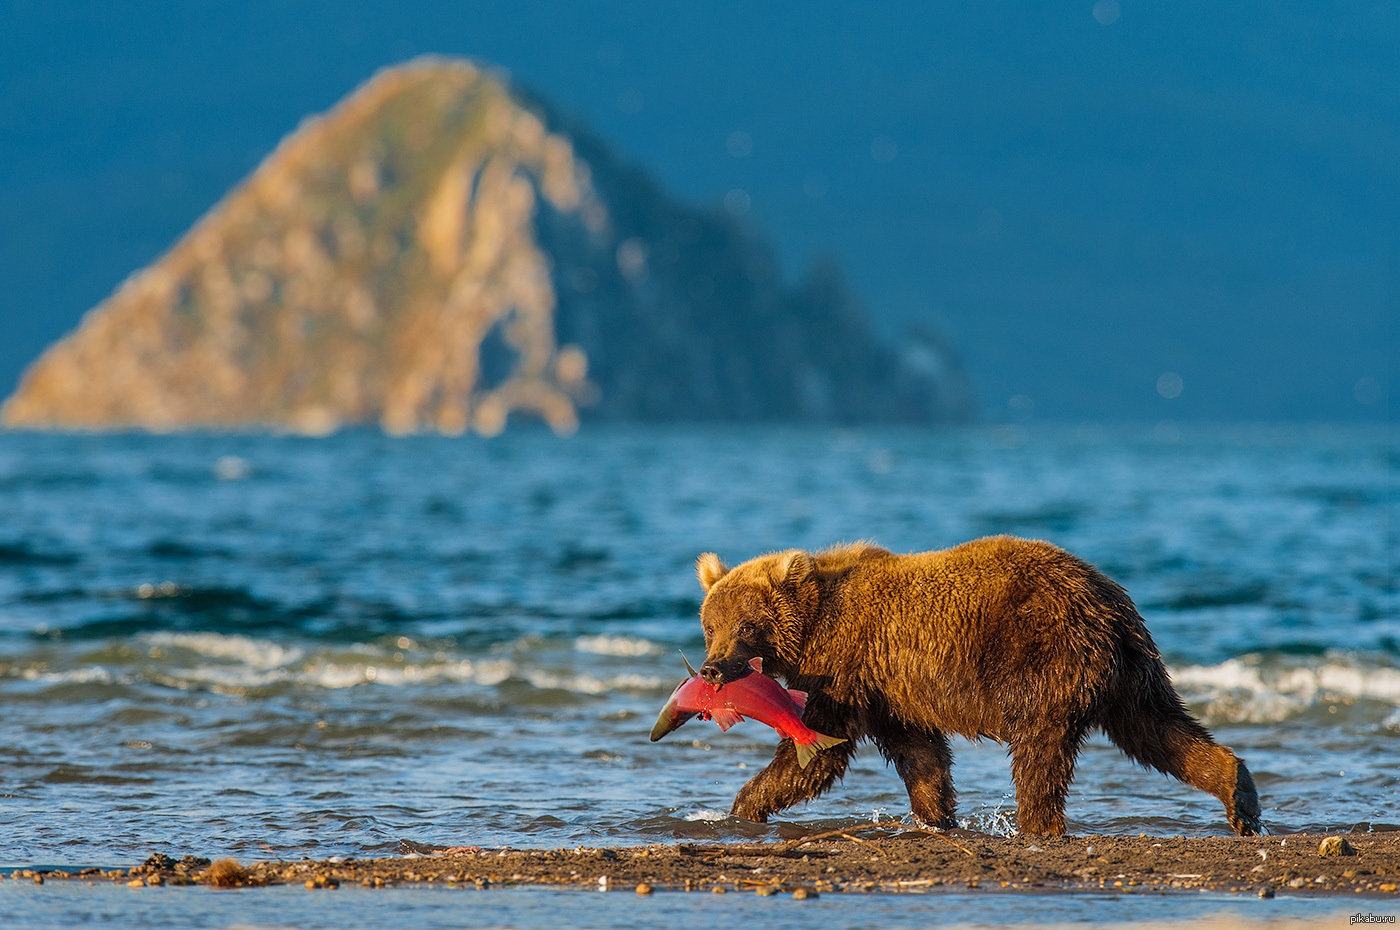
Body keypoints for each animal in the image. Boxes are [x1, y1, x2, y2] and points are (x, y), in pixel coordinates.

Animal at [692, 535, 1262, 837]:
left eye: (746, 626)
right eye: (710, 625)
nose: (713, 668)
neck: (814, 627)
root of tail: (1108, 604)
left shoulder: (846, 668)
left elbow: (820, 750)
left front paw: (741, 807)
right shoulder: (891, 691)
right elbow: (921, 754)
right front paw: (936, 816)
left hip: (1044, 658)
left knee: (1040, 752)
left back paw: (1037, 825)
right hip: (1132, 672)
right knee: (1159, 730)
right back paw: (1239, 794)